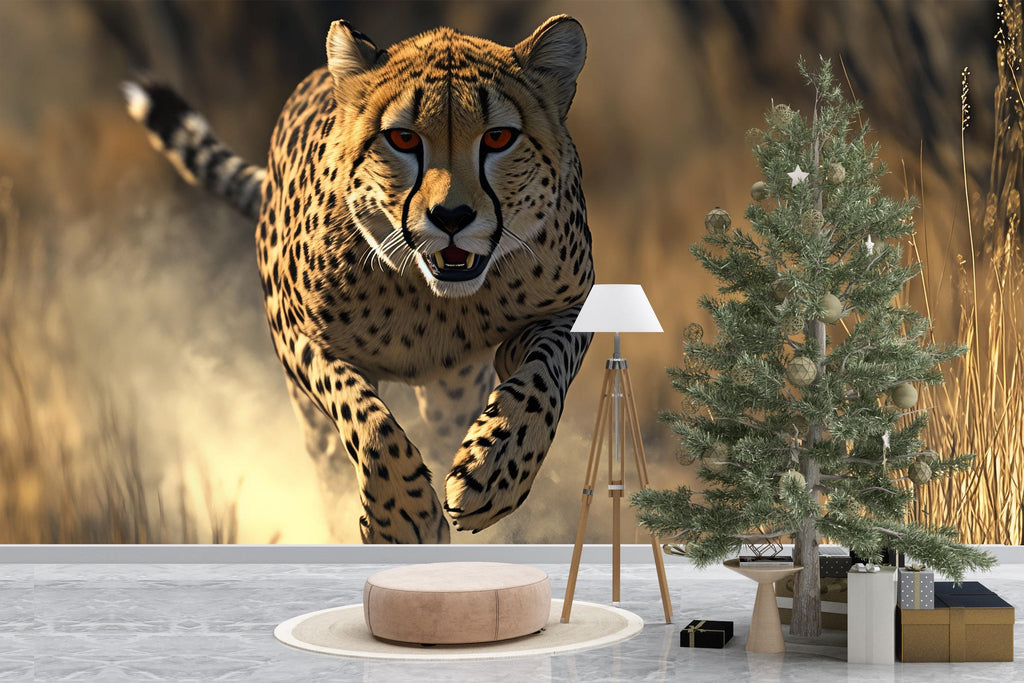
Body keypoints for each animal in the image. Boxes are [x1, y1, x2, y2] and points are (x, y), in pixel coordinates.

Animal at [123, 15, 595, 543]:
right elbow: (362, 414)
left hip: (450, 393)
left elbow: (541, 378)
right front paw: (403, 515)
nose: (451, 217)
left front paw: (491, 471)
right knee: (329, 464)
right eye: (403, 139)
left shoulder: (573, 307)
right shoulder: (296, 335)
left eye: (497, 139)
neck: (433, 299)